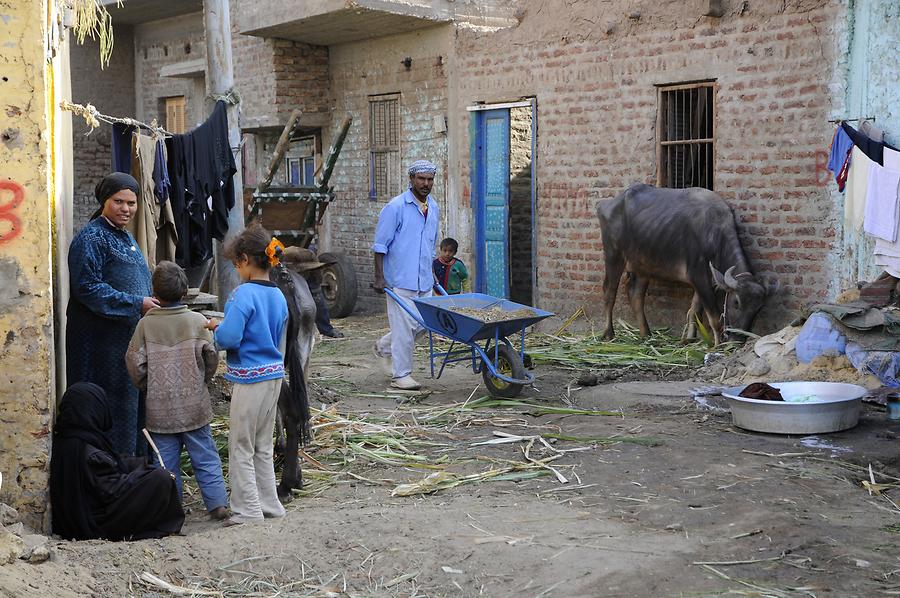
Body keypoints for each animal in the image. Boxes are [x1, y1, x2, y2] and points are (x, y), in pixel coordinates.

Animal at [596, 184, 768, 346]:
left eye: (758, 310)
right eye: (736, 302)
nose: (737, 341)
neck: (713, 233)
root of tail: (607, 204)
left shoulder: (706, 280)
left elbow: (695, 311)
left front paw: (689, 339)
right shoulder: (698, 276)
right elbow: (714, 318)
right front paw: (717, 345)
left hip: (643, 265)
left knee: (636, 295)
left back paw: (647, 335)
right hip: (613, 255)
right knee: (609, 292)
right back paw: (609, 333)